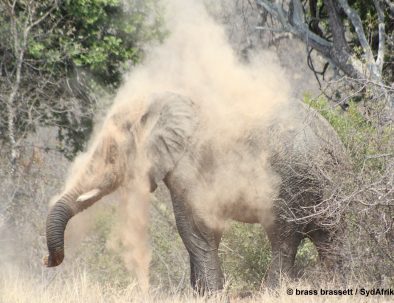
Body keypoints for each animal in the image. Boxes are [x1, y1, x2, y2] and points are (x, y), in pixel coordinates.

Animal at [44, 91, 350, 294]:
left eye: (113, 152)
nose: (48, 261)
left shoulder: (189, 166)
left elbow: (194, 227)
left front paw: (211, 294)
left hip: (287, 180)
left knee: (283, 238)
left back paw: (272, 292)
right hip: (329, 185)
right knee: (329, 236)